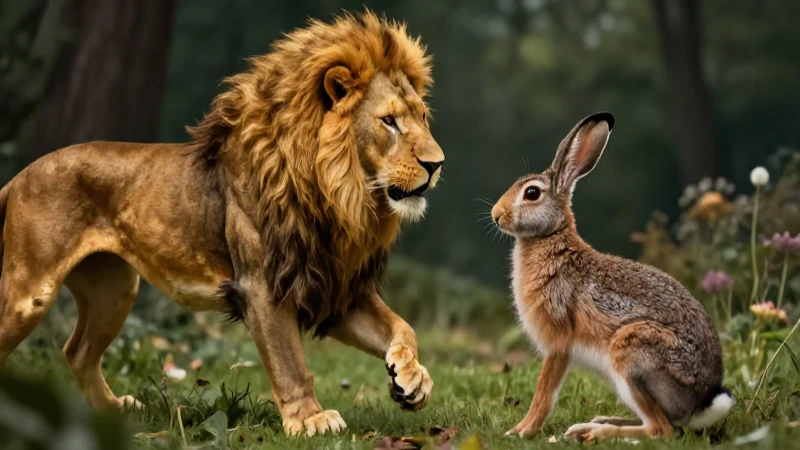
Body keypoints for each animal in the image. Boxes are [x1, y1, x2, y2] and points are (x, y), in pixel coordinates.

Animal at [0, 11, 444, 436]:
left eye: (423, 117)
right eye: (389, 121)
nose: (437, 164)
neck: (342, 197)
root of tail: (20, 174)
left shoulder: (334, 289)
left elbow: (402, 327)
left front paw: (412, 378)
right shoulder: (261, 287)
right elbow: (291, 364)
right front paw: (310, 421)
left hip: (115, 290)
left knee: (77, 351)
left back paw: (116, 411)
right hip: (30, 292)